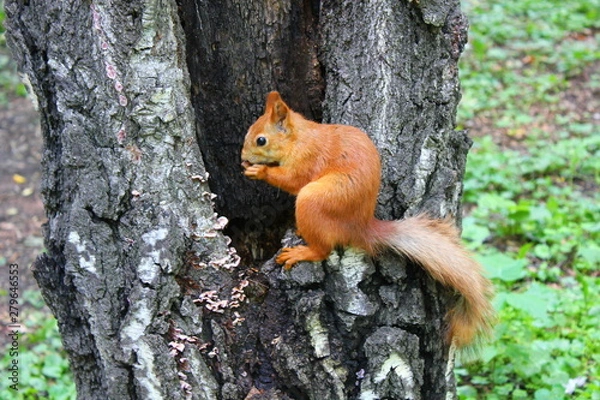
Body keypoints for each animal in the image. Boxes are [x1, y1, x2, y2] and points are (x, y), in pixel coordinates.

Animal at [241, 90, 494, 346]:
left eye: (261, 140)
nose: (243, 156)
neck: (299, 138)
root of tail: (360, 228)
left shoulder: (306, 160)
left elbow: (292, 180)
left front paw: (260, 171)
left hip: (314, 200)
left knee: (323, 249)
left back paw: (302, 252)